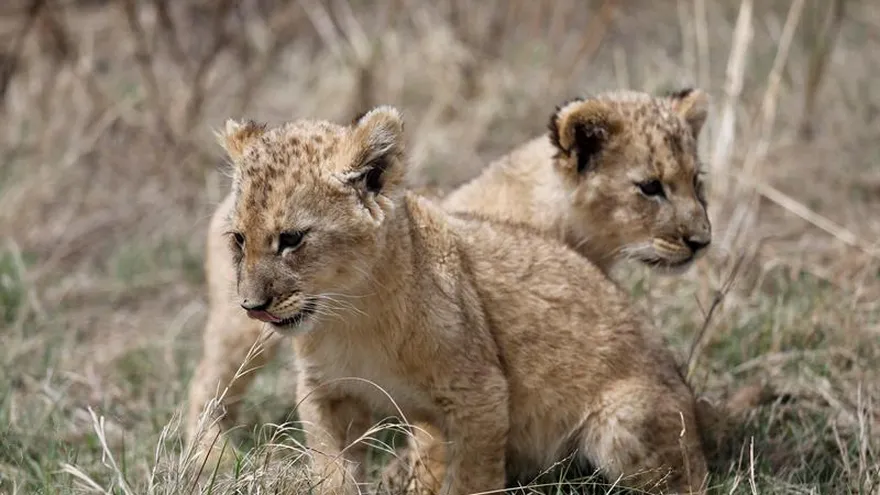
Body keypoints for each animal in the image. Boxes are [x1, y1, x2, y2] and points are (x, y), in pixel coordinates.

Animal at [193, 106, 708, 494]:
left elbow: (468, 481)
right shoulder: (326, 392)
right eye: (240, 240)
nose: (253, 305)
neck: (349, 315)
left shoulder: (479, 395)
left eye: (292, 239)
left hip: (623, 423)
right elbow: (332, 471)